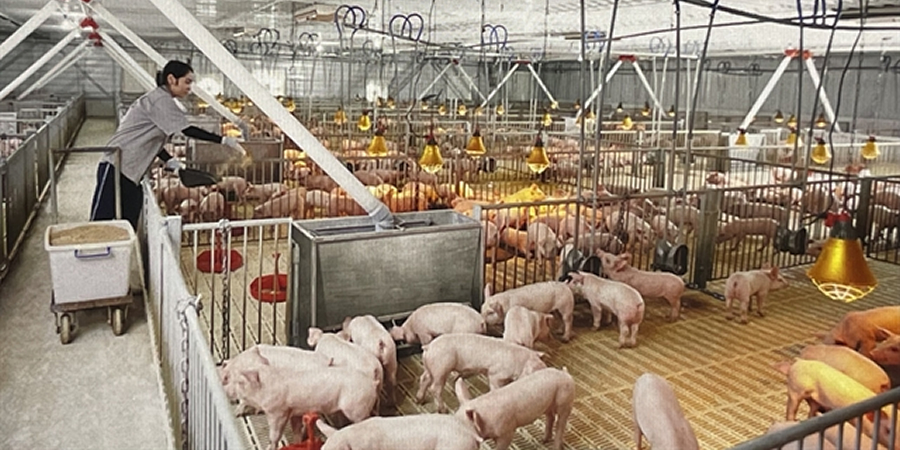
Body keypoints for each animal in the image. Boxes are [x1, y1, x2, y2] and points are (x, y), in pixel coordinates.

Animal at [220, 347, 378, 450]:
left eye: (239, 381)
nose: (225, 389)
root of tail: (372, 383)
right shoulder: (294, 411)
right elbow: (295, 428)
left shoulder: (278, 412)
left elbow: (275, 434)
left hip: (357, 408)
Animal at [416, 333, 547, 413]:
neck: (519, 362)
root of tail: (428, 347)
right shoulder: (495, 374)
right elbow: (495, 387)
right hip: (441, 368)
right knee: (434, 388)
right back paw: (443, 410)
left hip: (430, 368)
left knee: (424, 378)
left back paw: (419, 400)